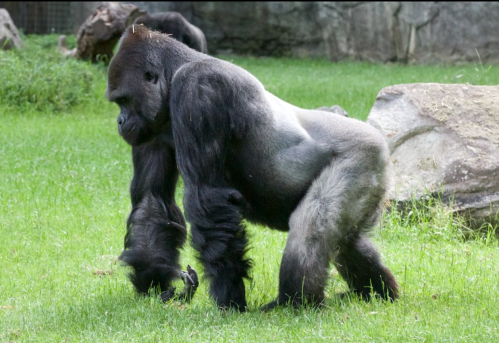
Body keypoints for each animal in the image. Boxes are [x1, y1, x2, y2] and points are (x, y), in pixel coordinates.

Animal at [105, 25, 398, 314]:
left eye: (124, 100)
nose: (120, 121)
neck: (177, 68)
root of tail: (382, 142)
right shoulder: (150, 127)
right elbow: (152, 199)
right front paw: (156, 284)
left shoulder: (198, 89)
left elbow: (206, 198)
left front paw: (229, 298)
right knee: (346, 241)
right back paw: (377, 292)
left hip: (363, 156)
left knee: (311, 227)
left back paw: (296, 303)